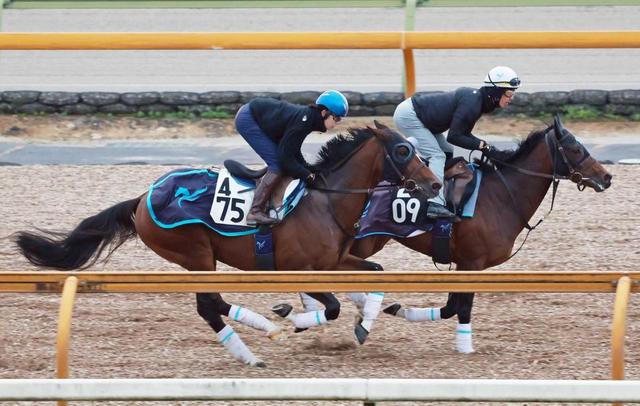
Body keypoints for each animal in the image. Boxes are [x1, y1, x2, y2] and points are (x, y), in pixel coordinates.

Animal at [16, 122, 444, 366]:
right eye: (403, 150)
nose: (434, 183)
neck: (326, 200)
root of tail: (141, 198)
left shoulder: (337, 261)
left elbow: (375, 273)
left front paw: (363, 324)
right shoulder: (301, 268)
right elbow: (332, 307)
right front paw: (298, 319)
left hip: (198, 260)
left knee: (213, 303)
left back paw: (264, 335)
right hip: (196, 255)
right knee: (208, 305)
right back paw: (258, 346)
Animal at [350, 115, 616, 352]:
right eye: (575, 148)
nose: (607, 176)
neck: (502, 195)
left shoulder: (462, 264)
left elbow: (451, 307)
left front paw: (400, 310)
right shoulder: (472, 263)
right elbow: (462, 307)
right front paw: (465, 347)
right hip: (364, 243)